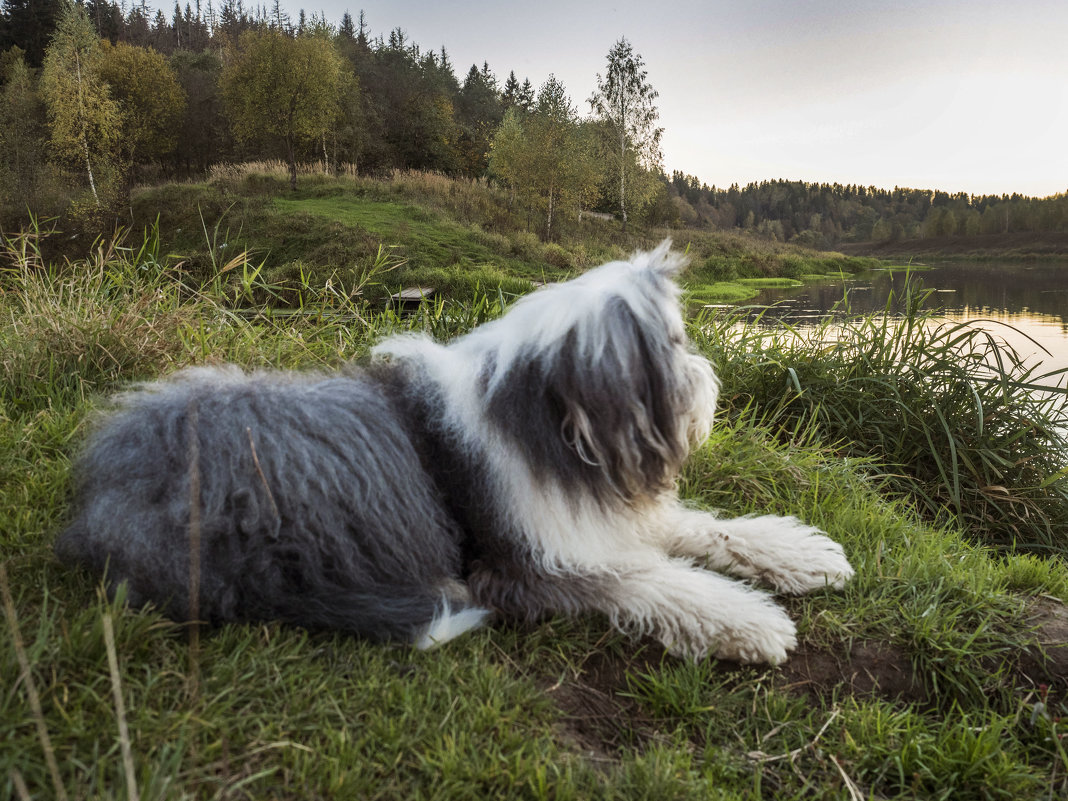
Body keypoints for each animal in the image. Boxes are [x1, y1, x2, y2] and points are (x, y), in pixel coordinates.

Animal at [60, 241, 858, 666]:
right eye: (675, 342)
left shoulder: (594, 512)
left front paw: (798, 554)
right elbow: (651, 583)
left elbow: (702, 528)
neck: (556, 432)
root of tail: (101, 507)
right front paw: (749, 622)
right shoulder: (523, 564)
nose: (709, 383)